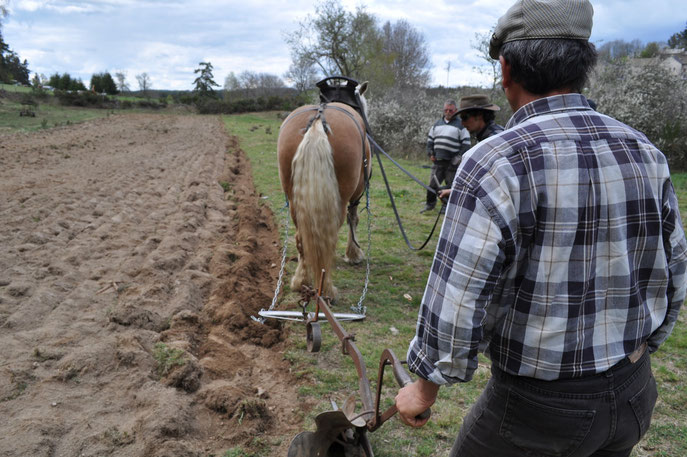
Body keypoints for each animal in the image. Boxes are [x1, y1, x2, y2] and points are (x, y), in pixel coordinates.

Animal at [276, 81, 370, 300]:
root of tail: (319, 119)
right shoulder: (357, 194)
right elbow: (354, 219)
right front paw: (353, 254)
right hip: (341, 200)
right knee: (328, 241)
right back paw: (326, 290)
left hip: (294, 200)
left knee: (301, 239)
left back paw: (300, 282)